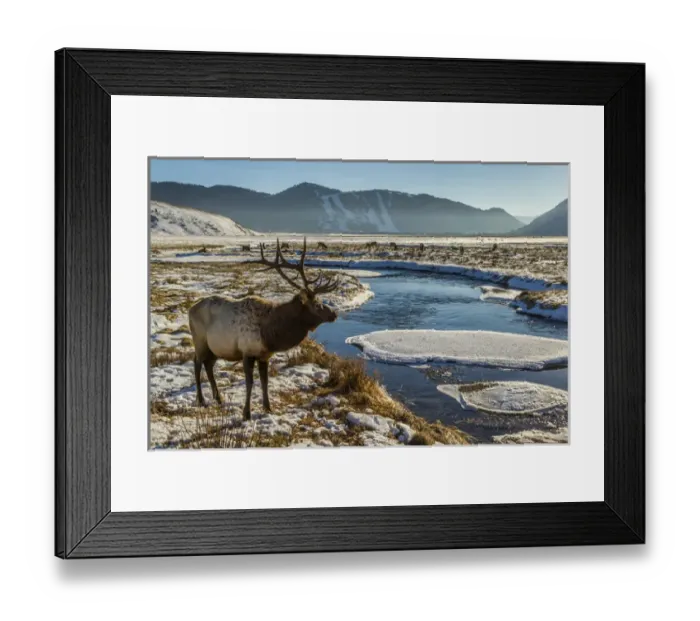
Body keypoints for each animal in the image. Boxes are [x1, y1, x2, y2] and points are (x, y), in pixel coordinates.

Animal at [187, 238, 340, 420]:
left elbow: (264, 381)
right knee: (197, 362)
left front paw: (268, 408)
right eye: (317, 304)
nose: (334, 313)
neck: (271, 334)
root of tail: (190, 310)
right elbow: (250, 382)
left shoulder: (264, 355)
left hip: (216, 348)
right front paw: (246, 413)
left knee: (208, 365)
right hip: (200, 340)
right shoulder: (247, 351)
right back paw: (201, 400)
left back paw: (218, 398)